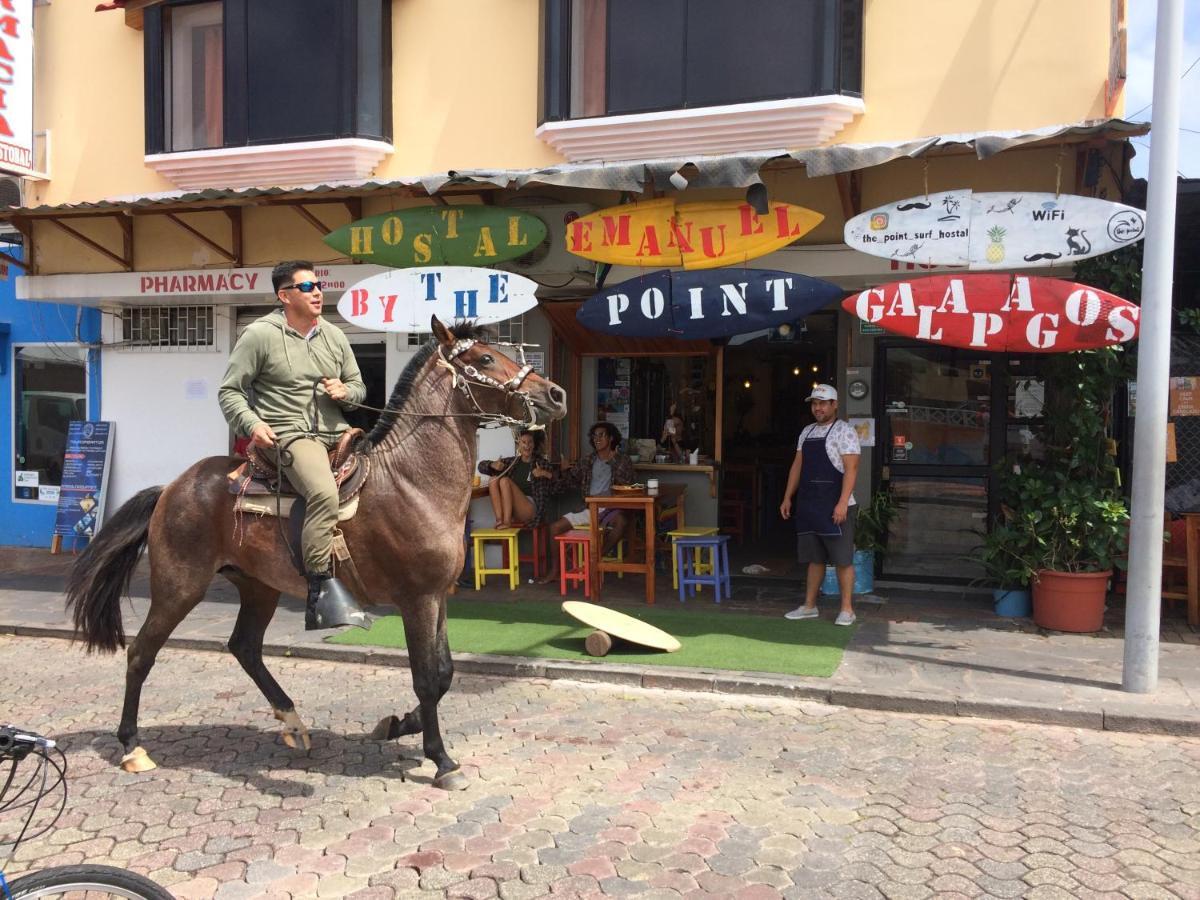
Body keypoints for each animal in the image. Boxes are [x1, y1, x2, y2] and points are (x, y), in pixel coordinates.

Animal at [63, 316, 568, 787]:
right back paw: (132, 745)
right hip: (179, 586)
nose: (556, 393)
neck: (412, 481)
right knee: (141, 652)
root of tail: (171, 487)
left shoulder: (438, 596)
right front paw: (441, 759)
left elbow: (443, 674)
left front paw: (397, 725)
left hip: (258, 587)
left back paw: (293, 723)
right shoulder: (416, 599)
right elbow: (427, 677)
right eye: (484, 359)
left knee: (244, 647)